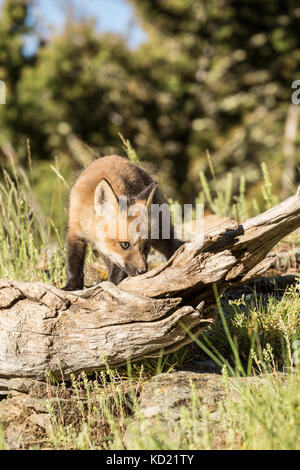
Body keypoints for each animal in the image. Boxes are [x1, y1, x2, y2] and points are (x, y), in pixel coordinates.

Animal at [64, 155, 184, 290]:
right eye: (125, 245)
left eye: (146, 245)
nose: (143, 271)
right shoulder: (75, 230)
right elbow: (73, 263)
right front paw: (71, 286)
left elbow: (119, 270)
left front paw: (114, 284)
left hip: (161, 234)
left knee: (172, 245)